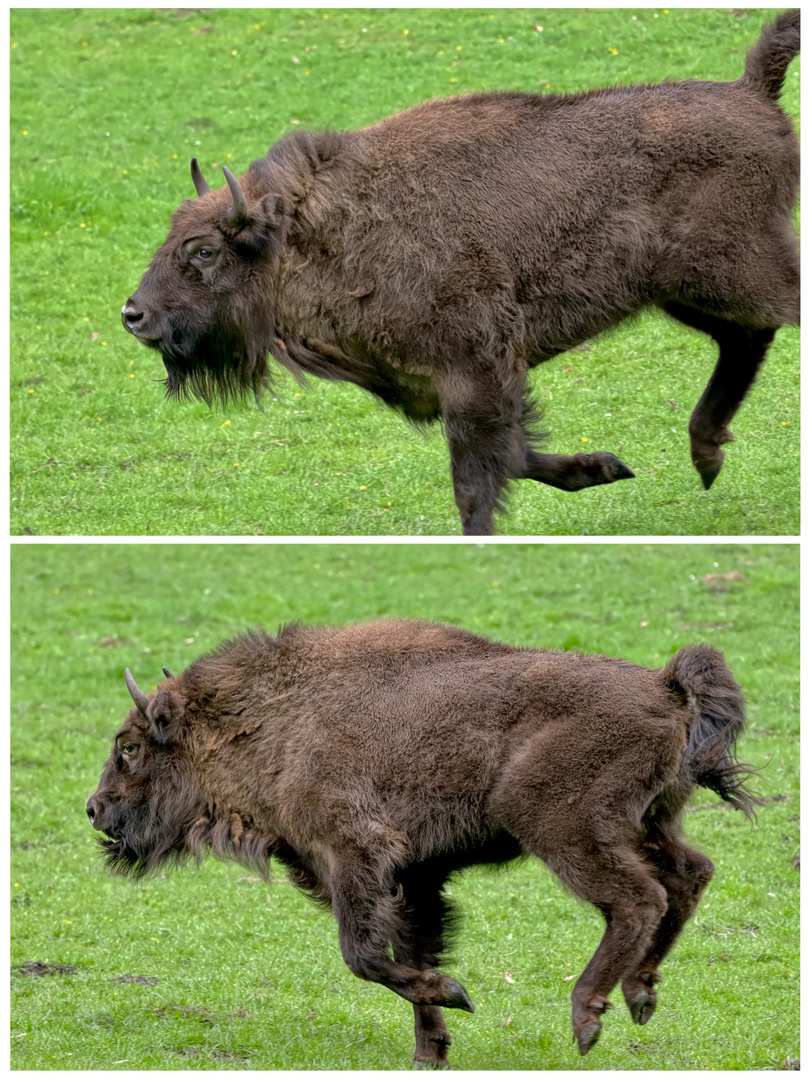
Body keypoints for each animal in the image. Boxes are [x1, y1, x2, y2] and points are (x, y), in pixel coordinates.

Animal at [86, 622, 756, 1067]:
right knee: (689, 875)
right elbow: (413, 948)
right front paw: (430, 1049)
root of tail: (664, 685)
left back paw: (588, 1015)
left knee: (639, 899)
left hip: (561, 827)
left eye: (130, 748)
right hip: (650, 823)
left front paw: (454, 996)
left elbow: (363, 954)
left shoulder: (356, 852)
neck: (276, 720)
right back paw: (640, 992)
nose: (94, 808)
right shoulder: (414, 878)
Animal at [123, 8, 799, 531]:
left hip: (731, 276)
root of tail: (749, 94)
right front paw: (604, 467)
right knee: (744, 338)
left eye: (204, 251)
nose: (134, 314)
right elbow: (518, 455)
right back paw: (706, 456)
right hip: (687, 294)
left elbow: (477, 482)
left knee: (763, 324)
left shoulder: (475, 374)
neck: (320, 234)